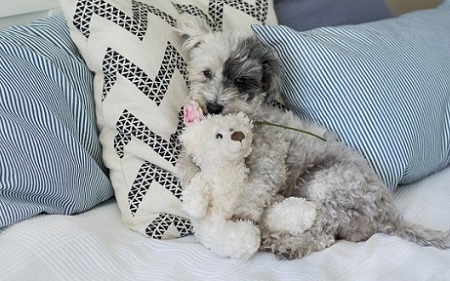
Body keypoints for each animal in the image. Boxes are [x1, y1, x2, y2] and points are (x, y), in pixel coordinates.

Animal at [174, 17, 448, 258]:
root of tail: (389, 214)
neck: (254, 120)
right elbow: (188, 164)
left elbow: (255, 187)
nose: (213, 106)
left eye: (241, 80)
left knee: (323, 233)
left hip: (328, 183)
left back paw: (284, 244)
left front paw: (241, 214)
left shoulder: (270, 161)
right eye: (207, 73)